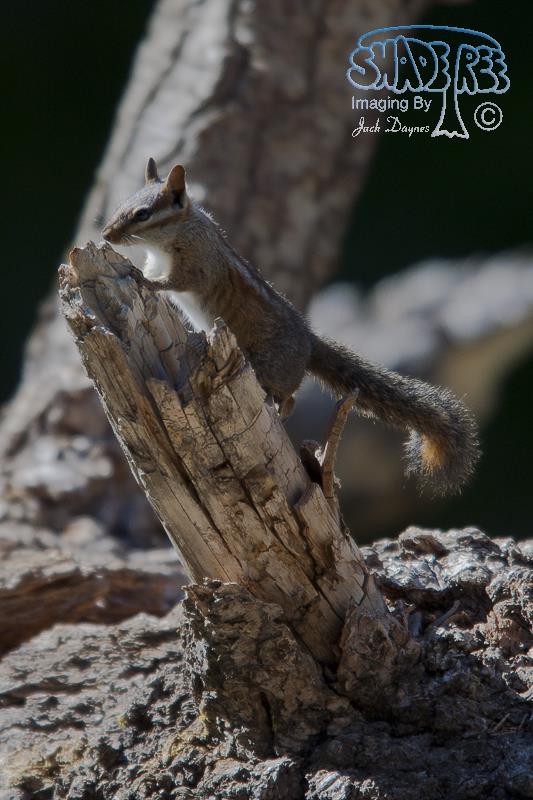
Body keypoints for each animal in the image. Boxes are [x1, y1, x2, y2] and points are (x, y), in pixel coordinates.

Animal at [102, 158, 479, 495]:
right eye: (122, 205)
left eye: (143, 214)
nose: (106, 235)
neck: (177, 232)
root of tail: (309, 341)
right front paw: (141, 274)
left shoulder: (198, 263)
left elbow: (176, 281)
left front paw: (146, 282)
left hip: (268, 367)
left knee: (291, 398)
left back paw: (279, 414)